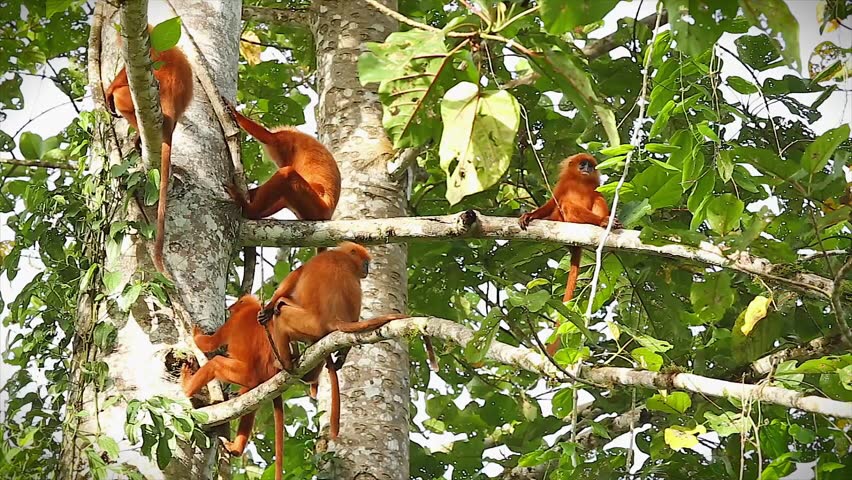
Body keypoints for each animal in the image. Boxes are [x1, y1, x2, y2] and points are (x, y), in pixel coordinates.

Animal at [180, 295, 286, 480]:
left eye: (235, 305)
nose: (229, 308)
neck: (251, 309)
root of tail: (268, 374)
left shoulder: (232, 322)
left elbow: (209, 343)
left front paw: (195, 333)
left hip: (241, 373)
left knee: (215, 364)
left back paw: (187, 387)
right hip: (255, 385)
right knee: (250, 407)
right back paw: (236, 450)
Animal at [518, 153, 622, 355]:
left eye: (590, 166)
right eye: (583, 164)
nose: (587, 169)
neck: (579, 181)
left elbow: (598, 194)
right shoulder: (562, 186)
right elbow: (552, 202)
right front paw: (530, 215)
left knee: (597, 197)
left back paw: (603, 221)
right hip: (561, 218)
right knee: (566, 204)